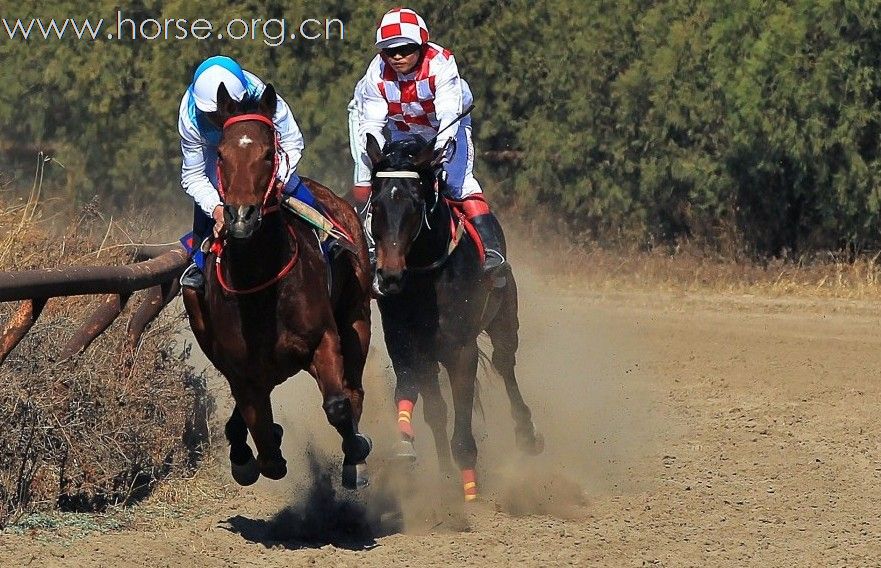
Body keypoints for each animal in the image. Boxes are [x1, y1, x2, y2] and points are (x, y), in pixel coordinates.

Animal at [180, 83, 372, 488]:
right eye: (221, 154)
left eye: (269, 154)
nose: (240, 217)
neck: (262, 284)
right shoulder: (242, 369)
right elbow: (265, 446)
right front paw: (252, 453)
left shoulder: (323, 339)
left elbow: (337, 405)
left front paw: (356, 452)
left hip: (357, 317)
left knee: (354, 389)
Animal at [360, 134, 540, 502]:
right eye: (376, 206)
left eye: (415, 203)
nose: (389, 275)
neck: (426, 276)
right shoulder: (407, 343)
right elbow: (422, 401)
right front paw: (424, 459)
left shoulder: (461, 350)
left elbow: (462, 420)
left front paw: (470, 488)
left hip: (504, 319)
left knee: (504, 364)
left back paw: (526, 432)